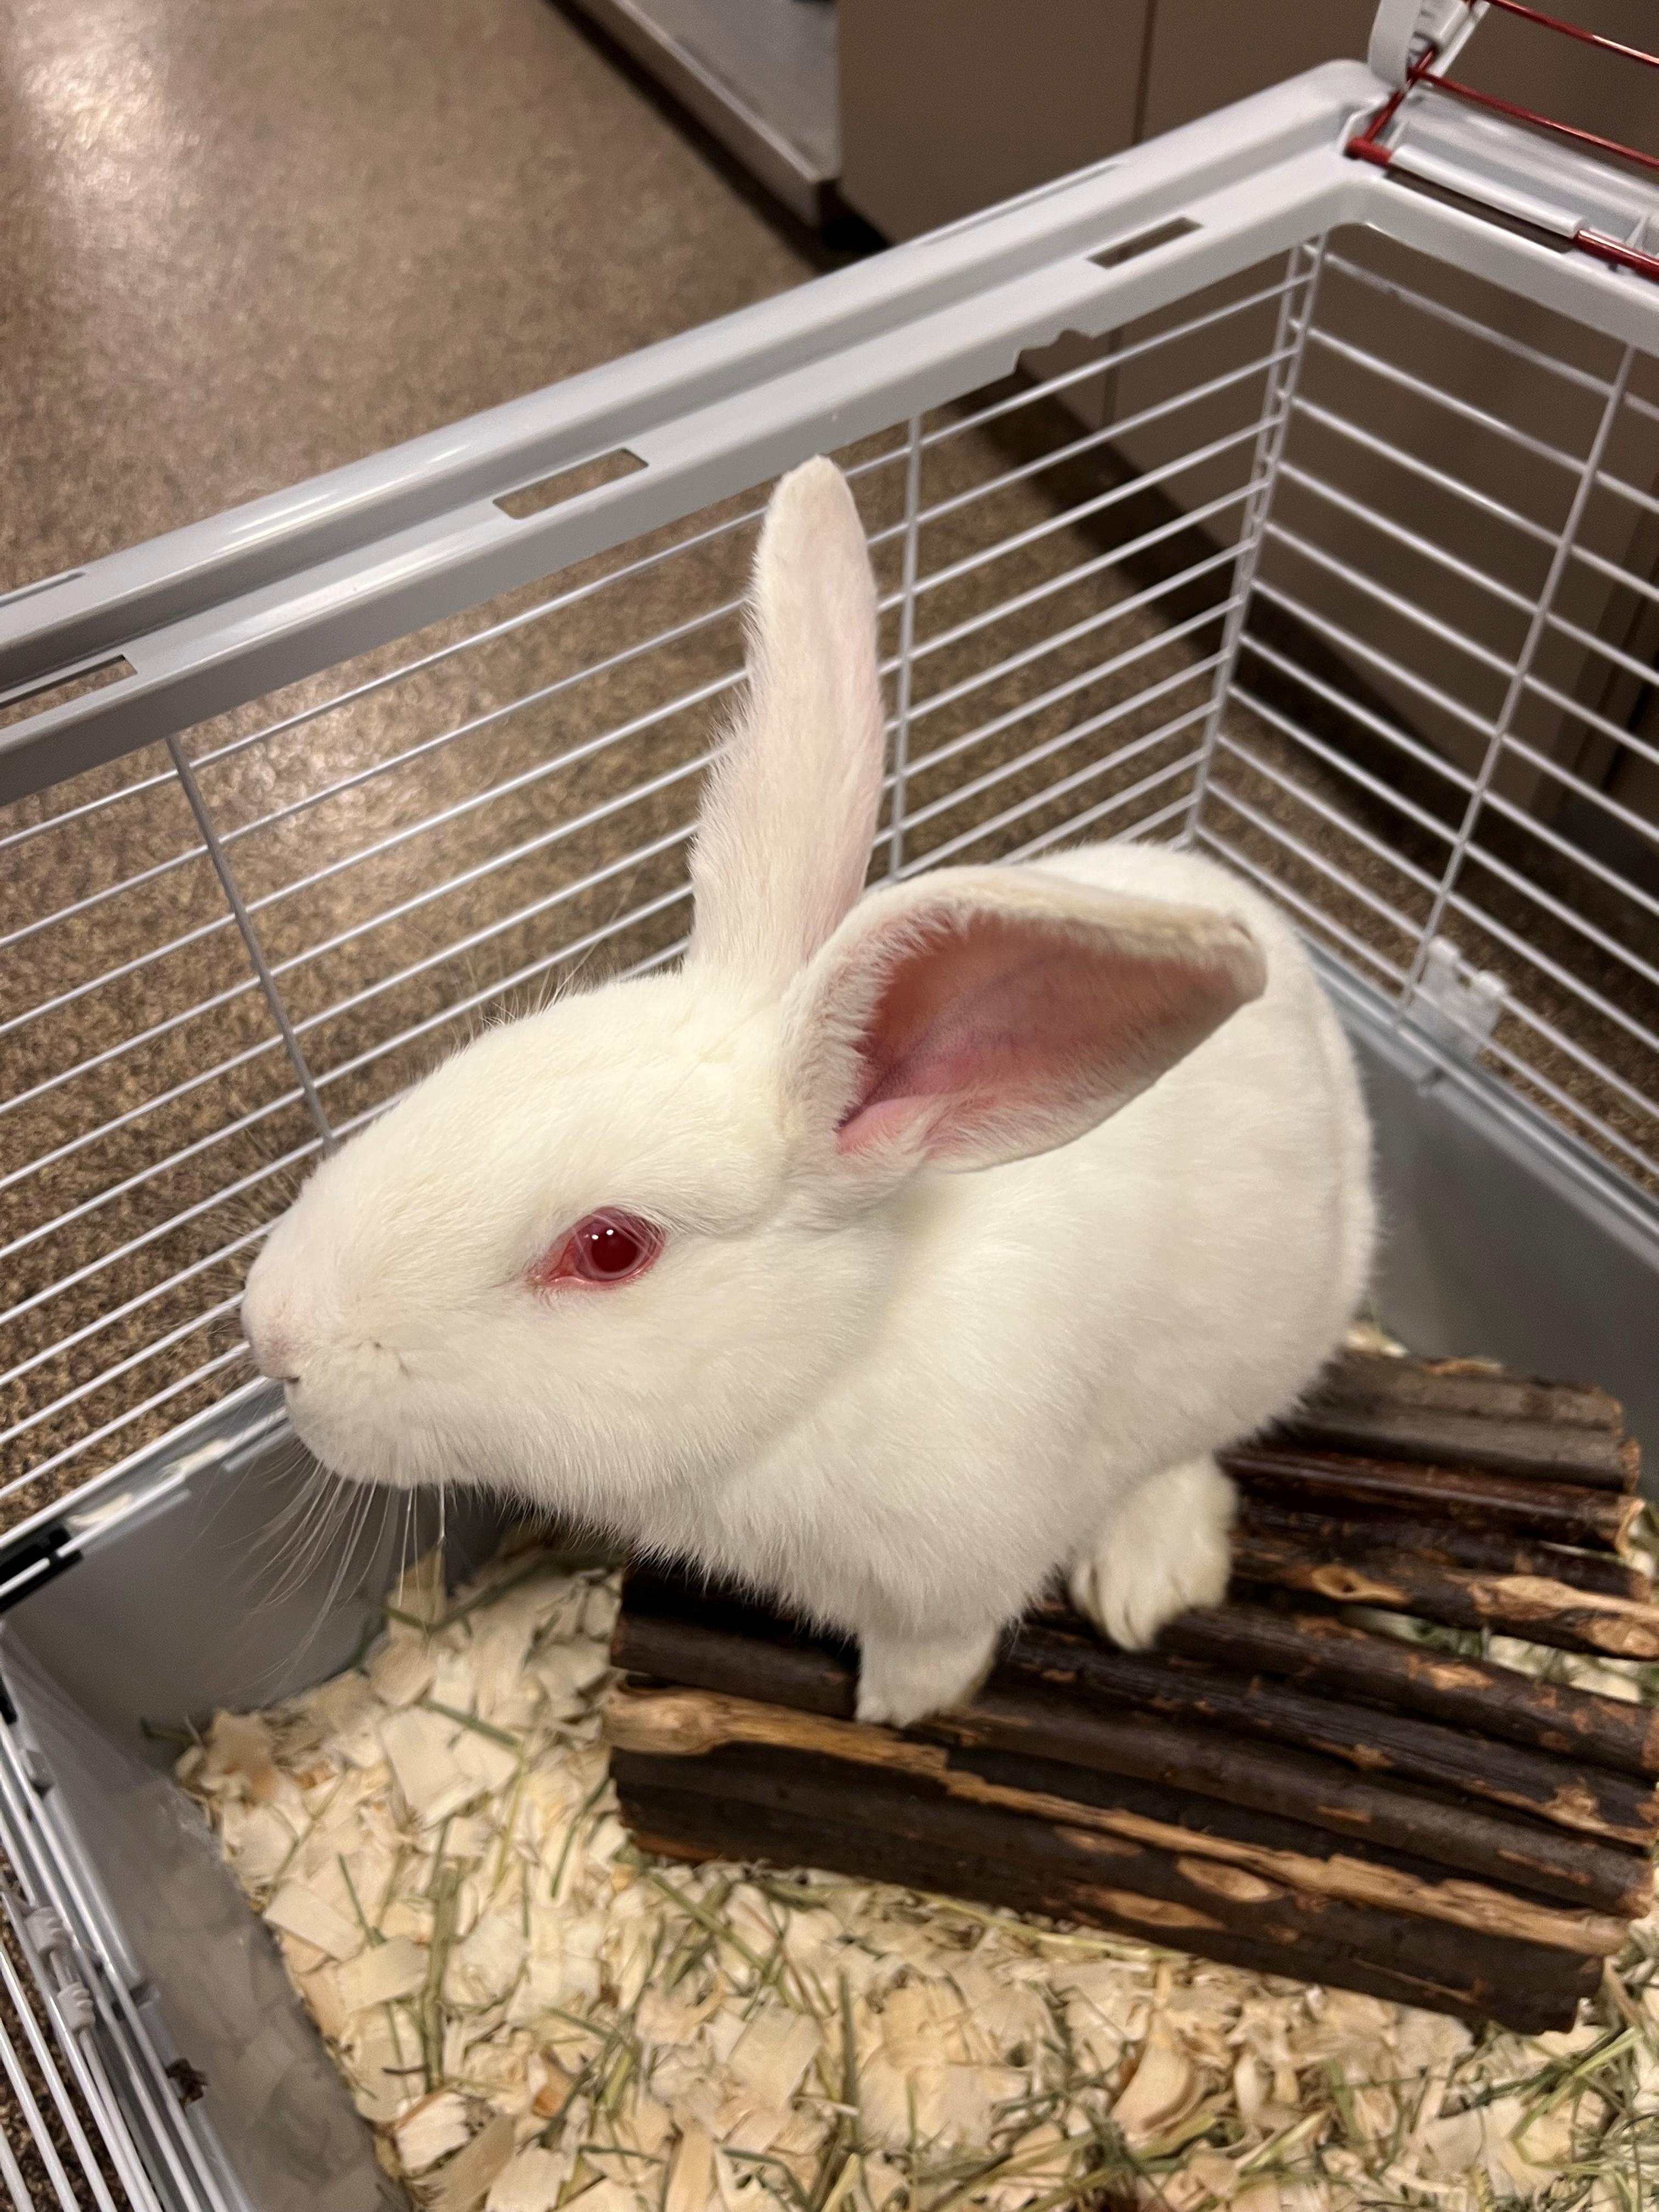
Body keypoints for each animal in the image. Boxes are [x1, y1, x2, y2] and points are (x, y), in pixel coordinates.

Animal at [241, 455, 1375, 1727]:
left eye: (609, 1248)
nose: (270, 1334)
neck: (830, 1363)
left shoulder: (950, 1580)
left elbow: (936, 1651)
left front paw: (893, 1711)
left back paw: (1143, 1576)